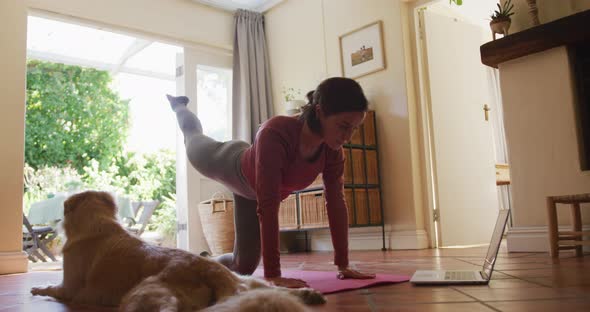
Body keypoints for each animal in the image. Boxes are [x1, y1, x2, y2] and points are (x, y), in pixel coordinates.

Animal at [30, 191, 326, 310]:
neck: (99, 223)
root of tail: (208, 269)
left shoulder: (69, 287)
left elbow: (51, 287)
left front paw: (37, 288)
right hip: (246, 280)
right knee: (272, 288)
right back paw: (307, 294)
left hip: (144, 291)